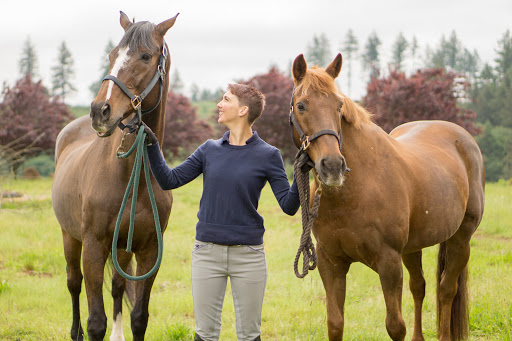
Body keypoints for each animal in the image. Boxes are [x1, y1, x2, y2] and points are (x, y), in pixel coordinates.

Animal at [51, 11, 177, 338]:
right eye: (112, 55)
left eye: (145, 56)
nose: (100, 111)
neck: (131, 176)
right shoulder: (94, 246)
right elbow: (96, 321)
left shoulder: (149, 251)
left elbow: (139, 317)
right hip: (70, 238)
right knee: (74, 283)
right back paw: (75, 332)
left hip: (122, 249)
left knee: (119, 285)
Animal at [290, 53, 486, 340]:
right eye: (301, 105)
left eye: (339, 105)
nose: (333, 166)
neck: (355, 190)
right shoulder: (331, 263)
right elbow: (335, 324)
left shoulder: (389, 263)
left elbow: (395, 326)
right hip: (414, 248)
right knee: (420, 287)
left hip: (461, 240)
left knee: (446, 289)